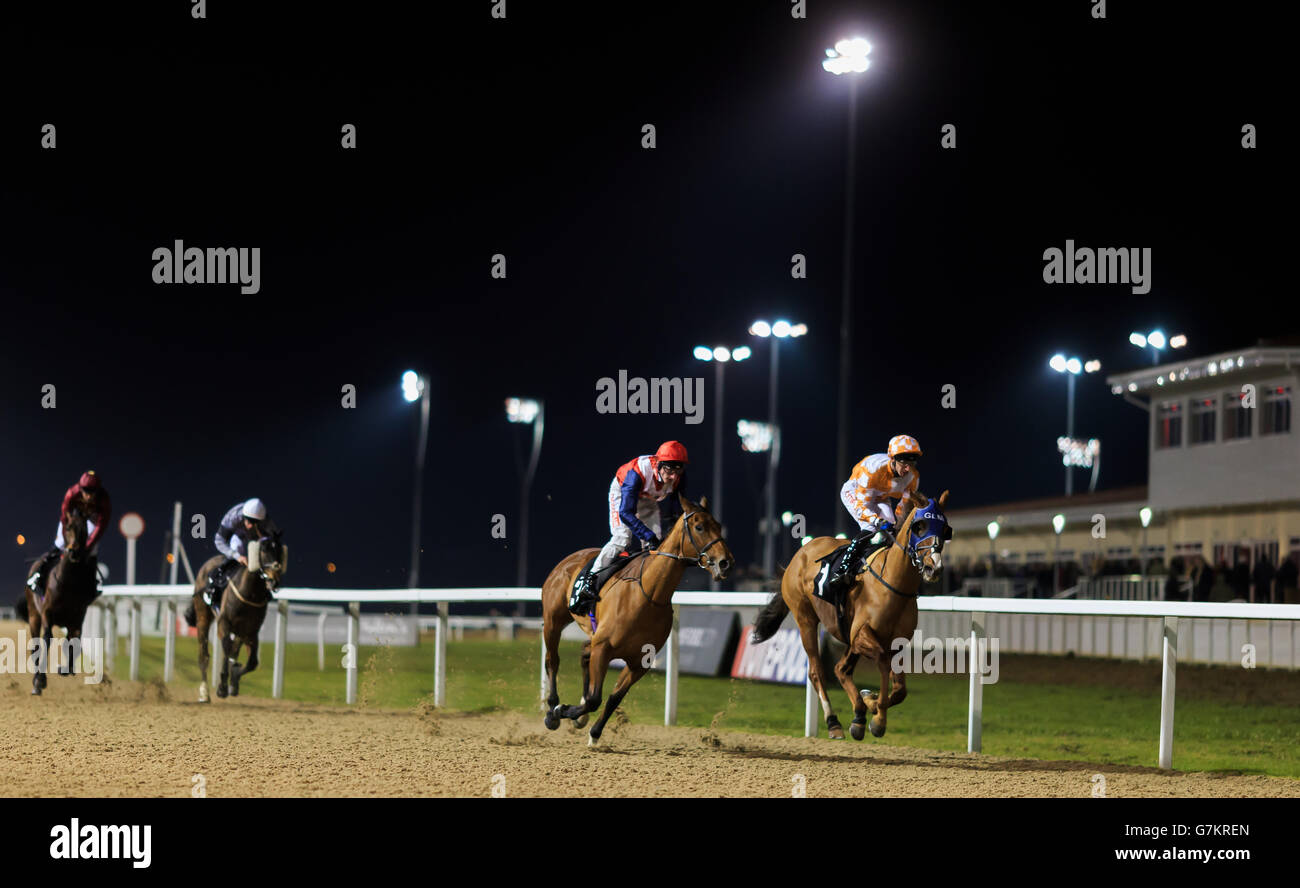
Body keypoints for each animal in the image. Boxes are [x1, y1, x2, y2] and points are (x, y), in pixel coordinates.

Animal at [20, 507, 99, 696]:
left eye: (85, 530)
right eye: (68, 527)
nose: (74, 552)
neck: (68, 584)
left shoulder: (77, 618)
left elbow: (74, 642)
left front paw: (66, 669)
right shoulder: (47, 613)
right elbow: (47, 639)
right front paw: (40, 680)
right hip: (34, 615)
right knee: (36, 646)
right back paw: (36, 682)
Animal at [191, 530, 286, 707]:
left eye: (279, 551)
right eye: (263, 551)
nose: (273, 581)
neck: (249, 592)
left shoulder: (251, 632)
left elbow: (251, 662)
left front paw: (234, 679)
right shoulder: (224, 624)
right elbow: (227, 652)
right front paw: (222, 687)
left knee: (233, 651)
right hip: (202, 616)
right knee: (204, 656)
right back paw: (204, 694)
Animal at [538, 496, 733, 748]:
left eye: (718, 526)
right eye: (699, 527)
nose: (725, 562)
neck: (649, 594)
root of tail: (569, 560)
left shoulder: (640, 662)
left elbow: (613, 698)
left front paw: (594, 732)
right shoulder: (604, 647)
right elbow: (594, 698)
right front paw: (562, 711)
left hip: (592, 633)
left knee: (584, 652)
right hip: (553, 621)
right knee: (552, 660)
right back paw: (552, 707)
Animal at [748, 488, 951, 738]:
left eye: (945, 529)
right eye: (919, 526)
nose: (934, 567)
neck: (893, 584)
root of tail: (799, 554)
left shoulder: (894, 642)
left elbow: (900, 689)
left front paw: (870, 703)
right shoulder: (863, 635)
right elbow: (883, 662)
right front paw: (878, 716)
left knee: (840, 668)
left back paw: (859, 715)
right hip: (805, 618)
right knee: (817, 671)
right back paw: (834, 723)